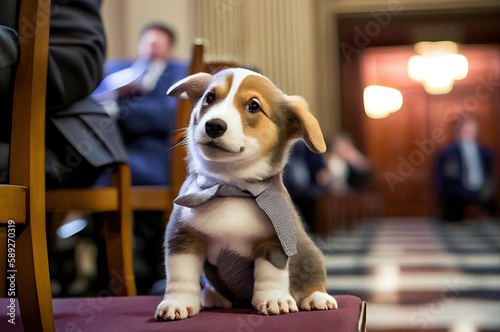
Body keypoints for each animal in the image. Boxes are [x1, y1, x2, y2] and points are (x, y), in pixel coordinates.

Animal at [154, 67, 338, 322]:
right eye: (209, 98)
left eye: (253, 105)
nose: (214, 125)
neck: (230, 187)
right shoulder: (183, 238)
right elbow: (181, 277)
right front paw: (177, 302)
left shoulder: (274, 240)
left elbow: (271, 273)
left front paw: (274, 299)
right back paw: (213, 297)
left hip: (311, 254)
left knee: (312, 278)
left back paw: (317, 297)